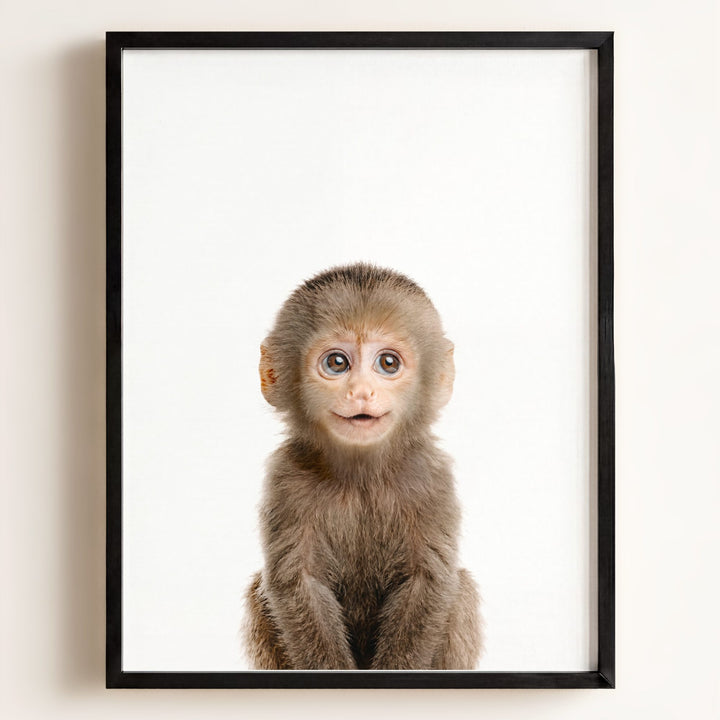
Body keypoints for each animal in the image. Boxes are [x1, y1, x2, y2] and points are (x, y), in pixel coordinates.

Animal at [243, 263, 481, 670]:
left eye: (388, 363)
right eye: (337, 363)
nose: (361, 392)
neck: (361, 476)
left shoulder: (430, 477)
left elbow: (428, 581)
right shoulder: (286, 477)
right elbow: (298, 582)